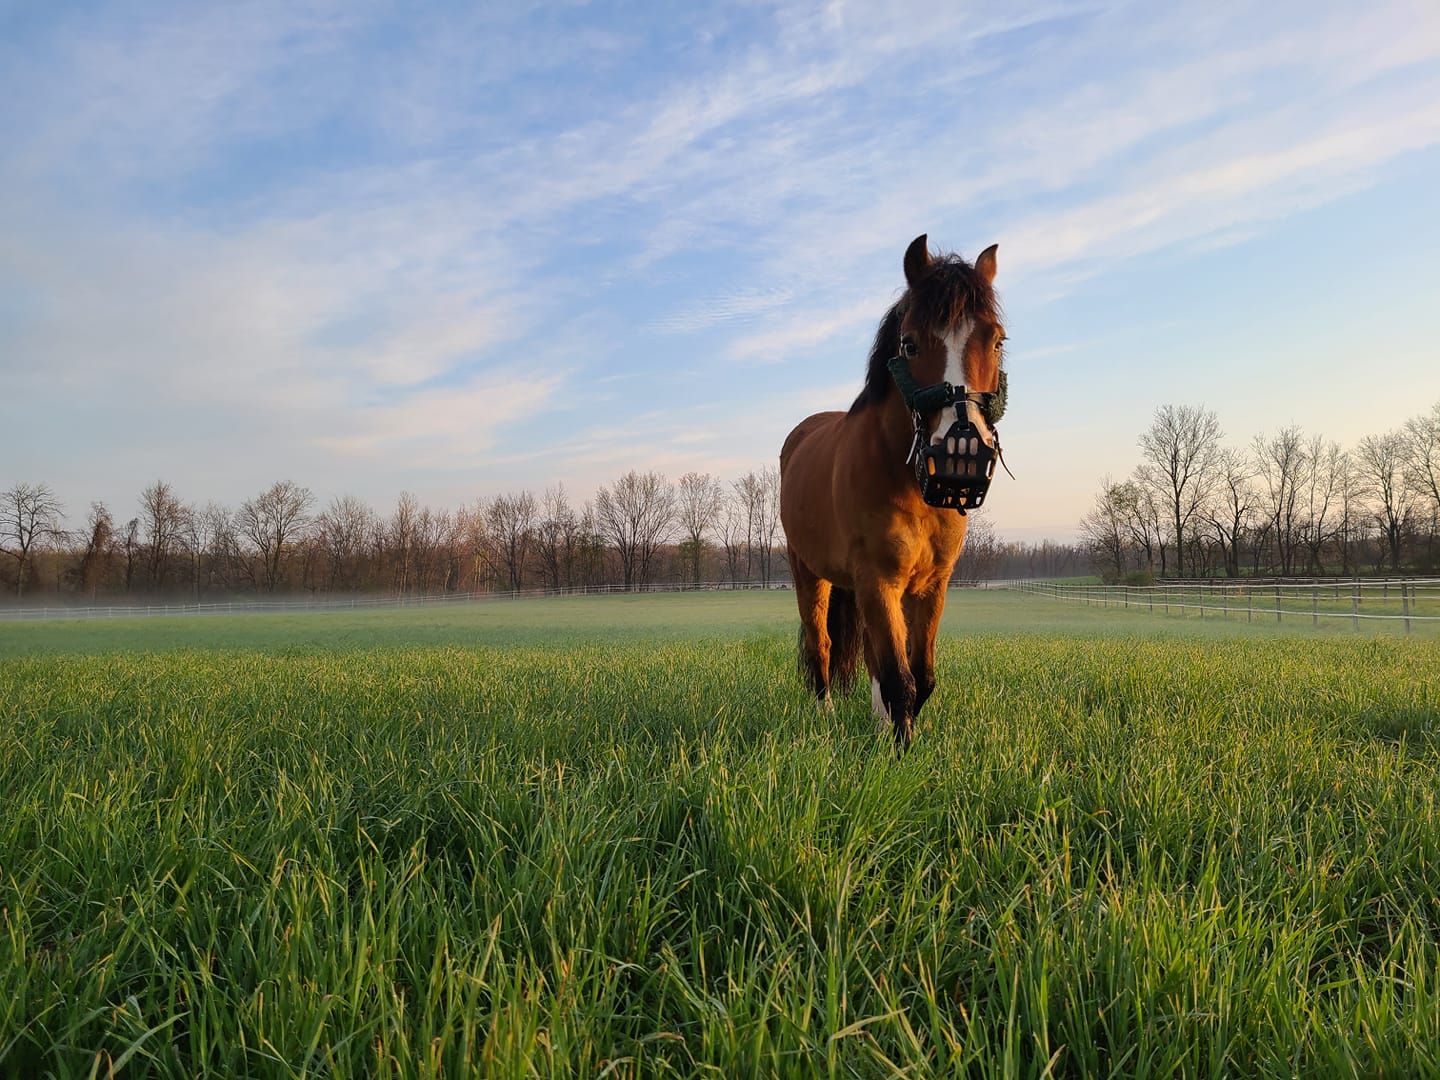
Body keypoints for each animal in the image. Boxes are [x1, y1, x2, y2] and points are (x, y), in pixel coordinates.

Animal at [783, 234, 1008, 754]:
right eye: (910, 343)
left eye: (997, 340)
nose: (961, 450)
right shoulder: (877, 580)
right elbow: (899, 678)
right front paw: (899, 756)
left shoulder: (931, 585)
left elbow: (919, 676)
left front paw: (895, 734)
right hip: (808, 572)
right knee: (821, 644)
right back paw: (825, 715)